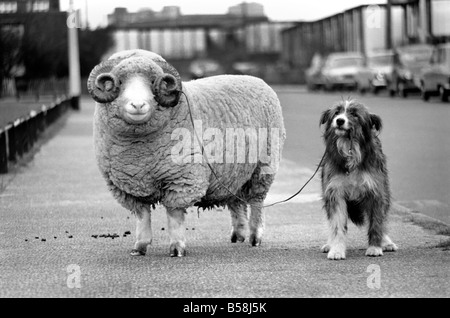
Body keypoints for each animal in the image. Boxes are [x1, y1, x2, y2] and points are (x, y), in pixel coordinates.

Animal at [86, 50, 286, 258]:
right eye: (120, 82)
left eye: (153, 81)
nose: (138, 105)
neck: (140, 153)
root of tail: (257, 80)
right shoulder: (130, 186)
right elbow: (142, 215)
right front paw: (140, 246)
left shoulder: (182, 178)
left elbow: (174, 215)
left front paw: (177, 247)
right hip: (233, 172)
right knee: (236, 201)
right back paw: (238, 234)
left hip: (263, 166)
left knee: (256, 201)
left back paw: (255, 236)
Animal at [320, 100, 398, 260]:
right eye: (336, 113)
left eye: (355, 114)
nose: (340, 121)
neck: (349, 147)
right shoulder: (335, 192)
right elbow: (337, 225)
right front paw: (336, 249)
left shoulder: (375, 192)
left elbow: (376, 223)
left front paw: (375, 247)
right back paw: (329, 244)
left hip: (385, 190)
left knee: (382, 219)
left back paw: (386, 242)